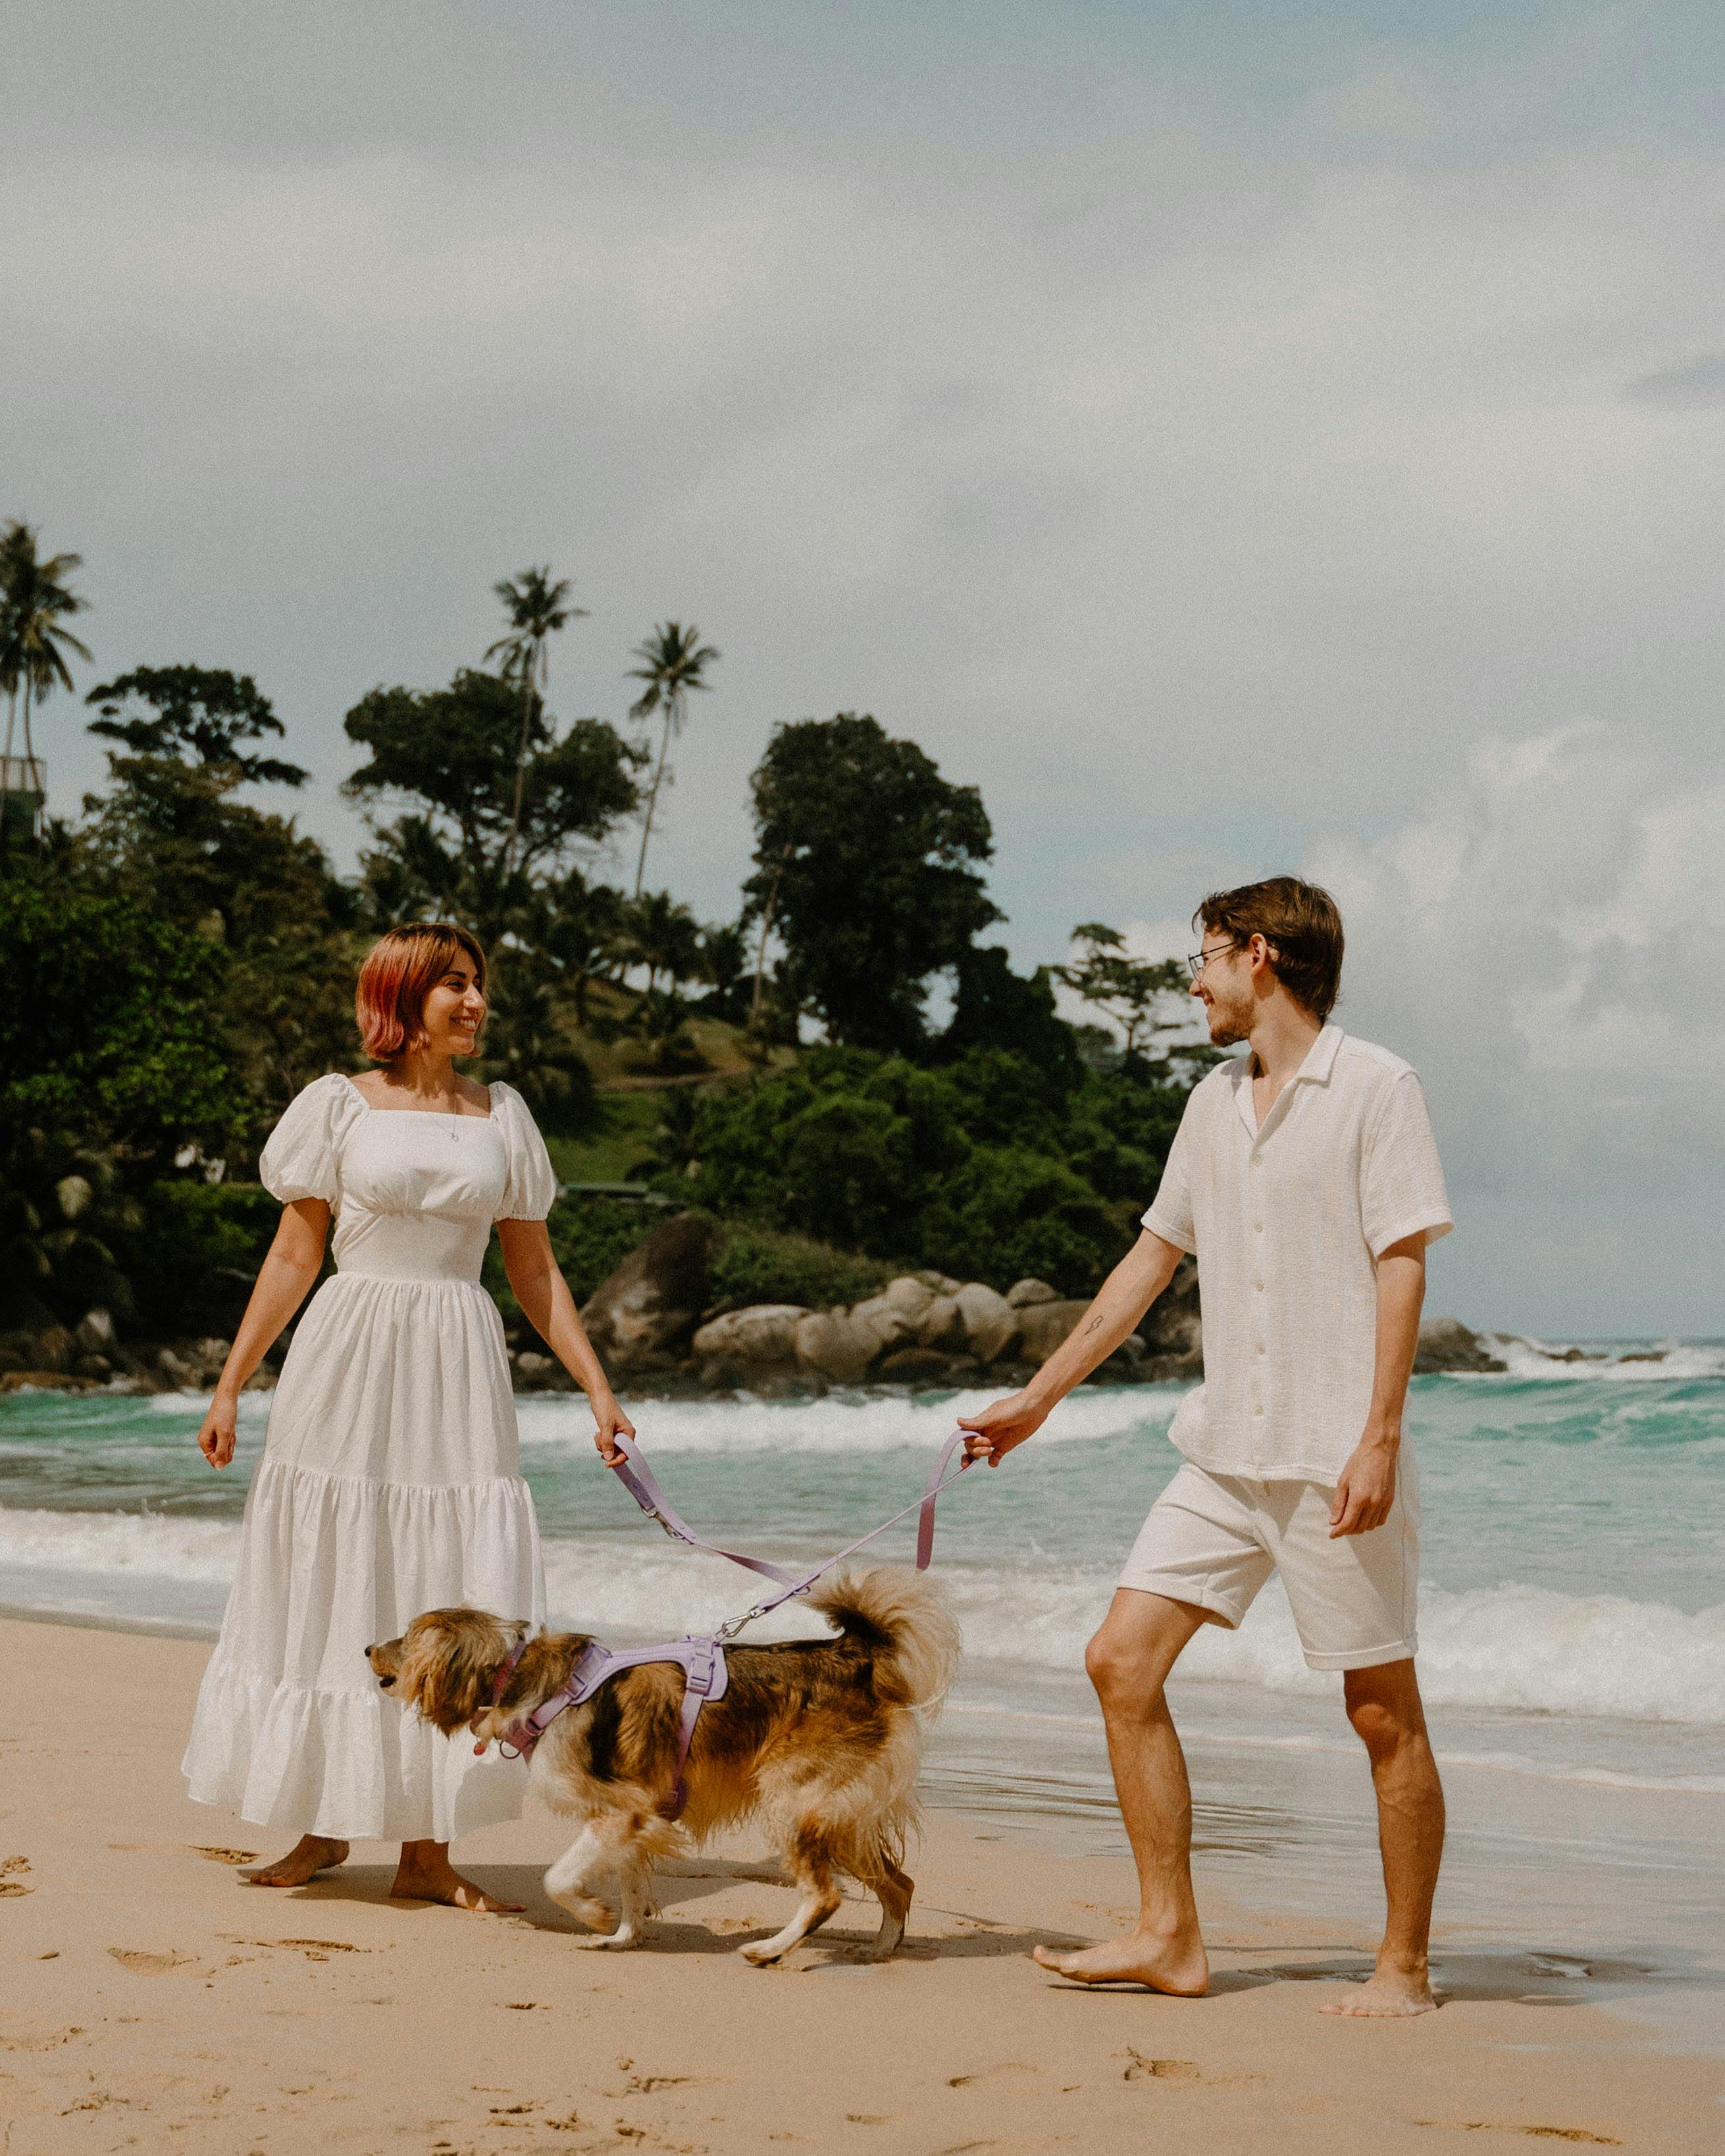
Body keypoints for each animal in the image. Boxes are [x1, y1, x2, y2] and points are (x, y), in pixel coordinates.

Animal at [366, 1569, 957, 1957]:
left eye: (408, 1638)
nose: (368, 1648)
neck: (520, 1678)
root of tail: (853, 1657)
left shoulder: (619, 1814)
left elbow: (558, 1879)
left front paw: (595, 1915)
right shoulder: (635, 1818)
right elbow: (630, 1886)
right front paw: (622, 1936)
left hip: (795, 1803)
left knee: (827, 1895)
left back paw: (771, 1949)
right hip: (838, 1813)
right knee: (899, 1883)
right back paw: (880, 1949)